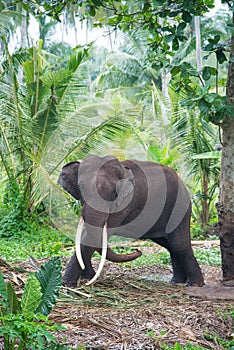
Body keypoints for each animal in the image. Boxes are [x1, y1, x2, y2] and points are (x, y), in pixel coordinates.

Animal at [57, 155, 204, 288]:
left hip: (180, 208)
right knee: (170, 245)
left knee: (179, 244)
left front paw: (68, 284)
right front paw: (86, 278)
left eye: (114, 193)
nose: (138, 250)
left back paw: (194, 284)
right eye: (82, 189)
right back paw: (177, 281)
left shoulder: (124, 204)